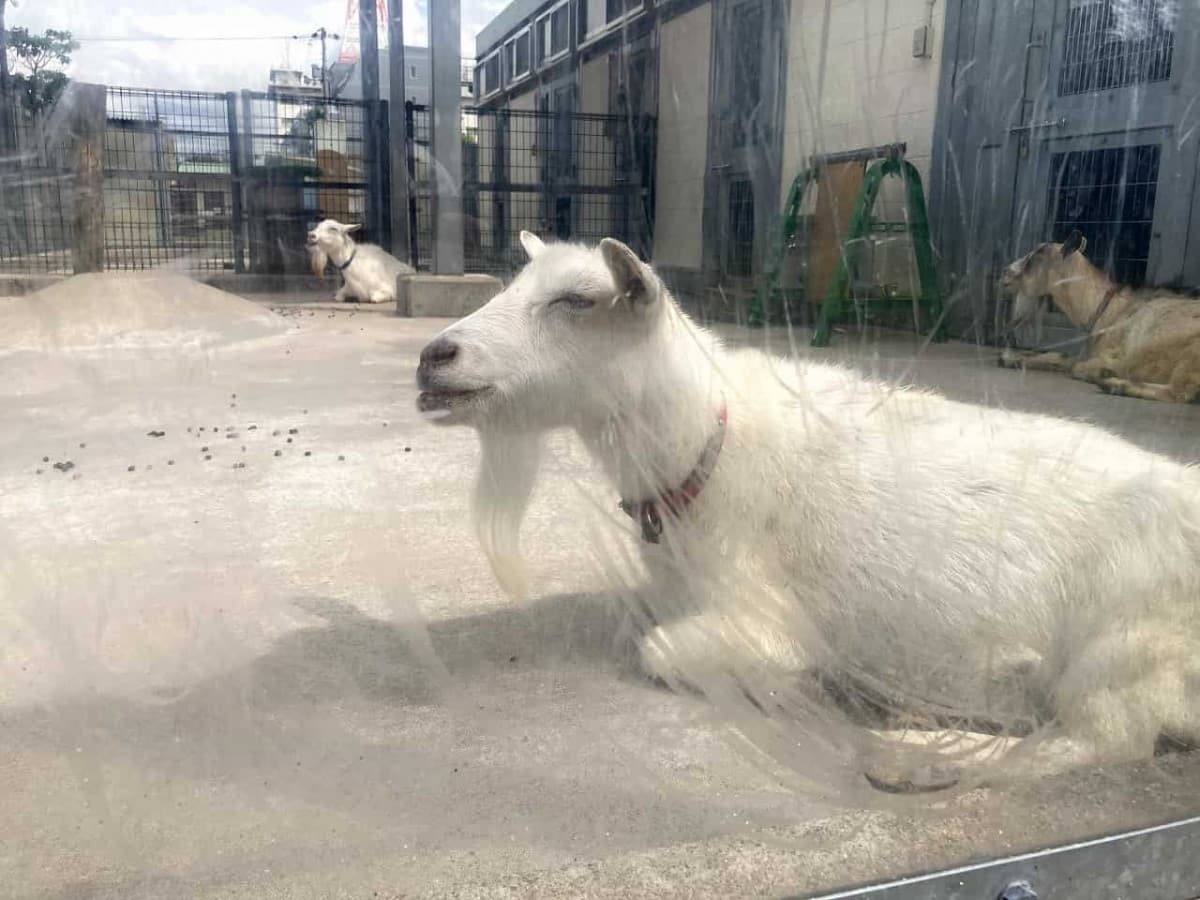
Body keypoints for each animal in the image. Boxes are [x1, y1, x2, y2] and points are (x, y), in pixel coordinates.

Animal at [998, 230, 1200, 403]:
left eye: (1037, 254)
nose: (1005, 272)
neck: (1108, 310)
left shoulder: (1114, 355)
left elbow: (1076, 366)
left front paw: (1104, 372)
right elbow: (1060, 356)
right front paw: (1009, 358)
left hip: (1191, 355)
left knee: (1180, 392)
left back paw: (1113, 384)